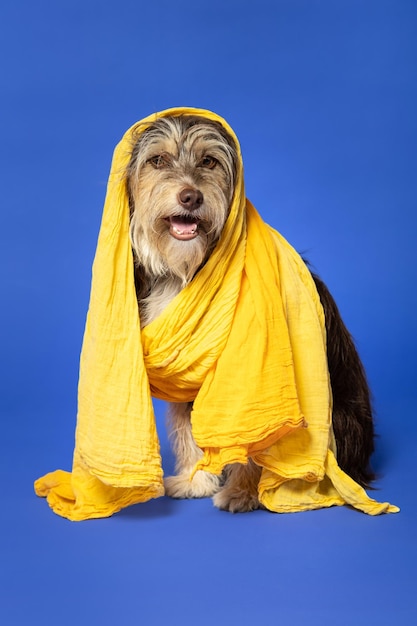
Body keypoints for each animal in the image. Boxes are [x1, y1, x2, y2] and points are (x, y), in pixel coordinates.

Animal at [124, 114, 374, 510]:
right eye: (158, 160)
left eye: (209, 161)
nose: (191, 196)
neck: (188, 268)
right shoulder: (189, 379)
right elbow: (189, 427)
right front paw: (196, 480)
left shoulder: (253, 380)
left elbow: (252, 439)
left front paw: (243, 492)